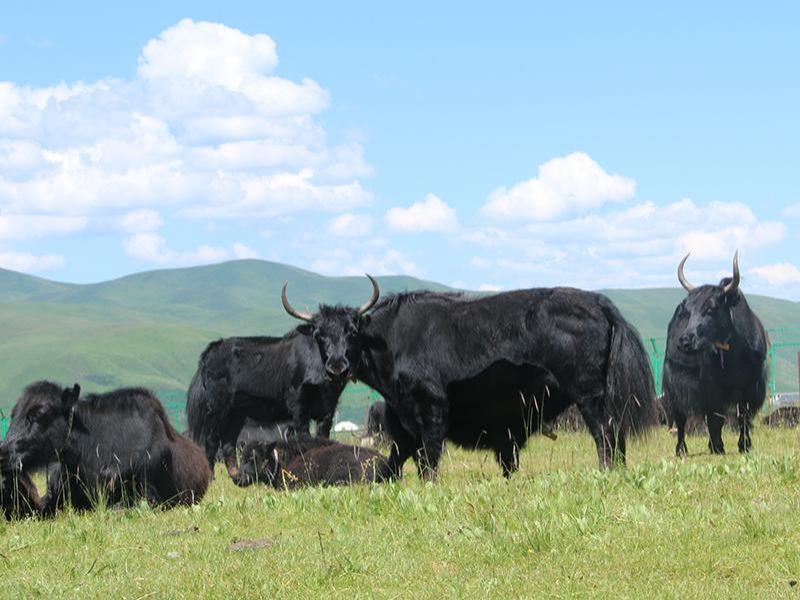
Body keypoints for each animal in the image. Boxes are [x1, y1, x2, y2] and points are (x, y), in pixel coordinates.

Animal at [186, 275, 380, 478]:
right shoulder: (299, 409)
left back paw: (237, 475)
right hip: (215, 411)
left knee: (228, 444)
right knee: (210, 444)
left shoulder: (328, 411)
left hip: (235, 414)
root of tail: (208, 354)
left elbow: (323, 437)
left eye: (352, 331)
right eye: (319, 334)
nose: (337, 368)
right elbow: (304, 437)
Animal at [281, 282, 658, 479]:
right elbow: (396, 460)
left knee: (605, 433)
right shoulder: (403, 421)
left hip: (588, 394)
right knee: (615, 432)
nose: (337, 367)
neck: (389, 340)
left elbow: (430, 455)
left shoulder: (432, 406)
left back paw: (606, 472)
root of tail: (599, 303)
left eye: (351, 332)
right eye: (319, 335)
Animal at [662, 252, 768, 456]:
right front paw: (717, 446)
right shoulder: (711, 387)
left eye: (711, 309)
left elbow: (743, 415)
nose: (684, 341)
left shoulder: (751, 385)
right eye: (688, 311)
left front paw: (745, 445)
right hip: (673, 388)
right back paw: (681, 449)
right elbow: (715, 417)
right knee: (680, 419)